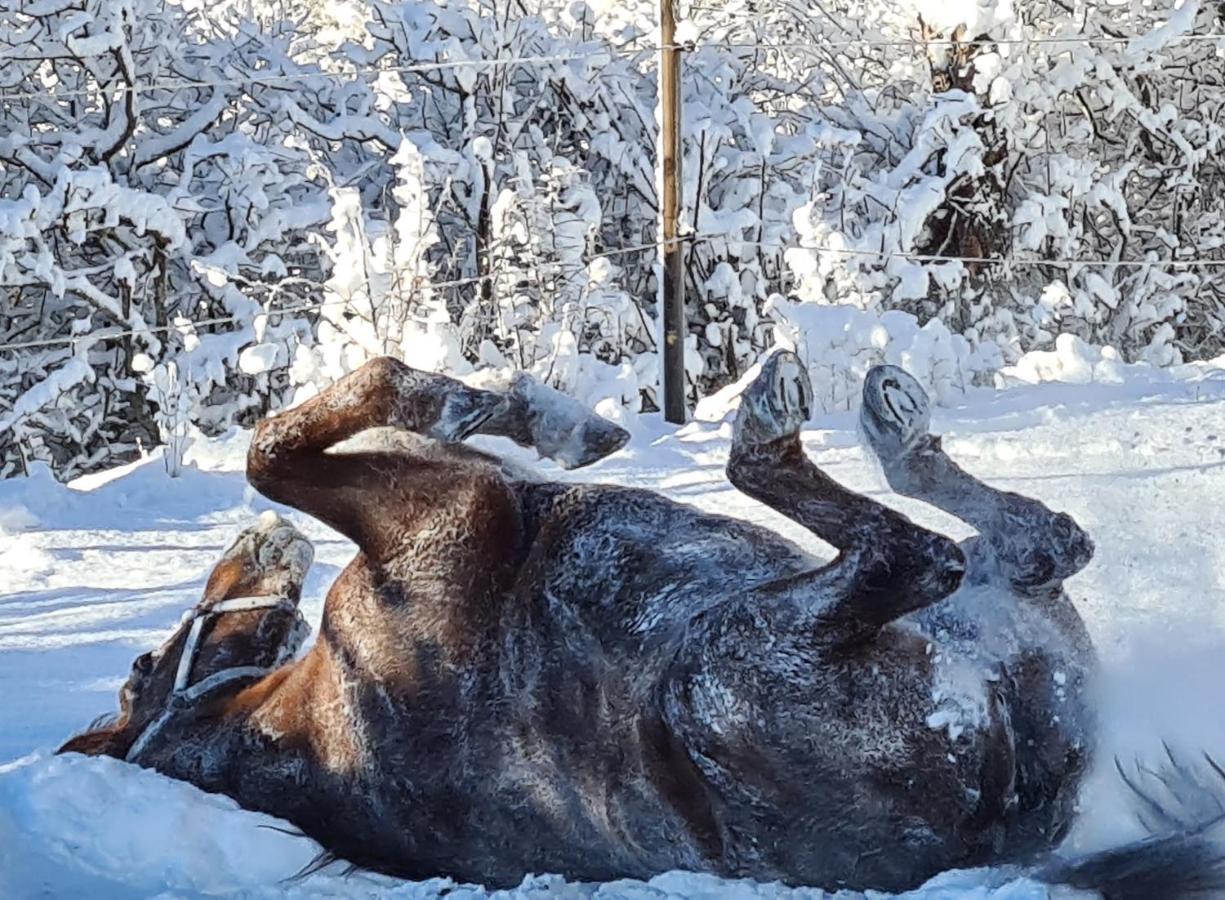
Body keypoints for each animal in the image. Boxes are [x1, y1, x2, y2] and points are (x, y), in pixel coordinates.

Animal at [62, 352, 1225, 896]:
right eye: (144, 661)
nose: (260, 548)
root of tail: (998, 823)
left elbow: (309, 433)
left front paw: (544, 415)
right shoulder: (449, 511)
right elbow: (285, 440)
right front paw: (511, 412)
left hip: (1000, 631)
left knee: (1026, 543)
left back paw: (887, 421)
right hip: (726, 662)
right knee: (923, 549)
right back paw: (789, 422)